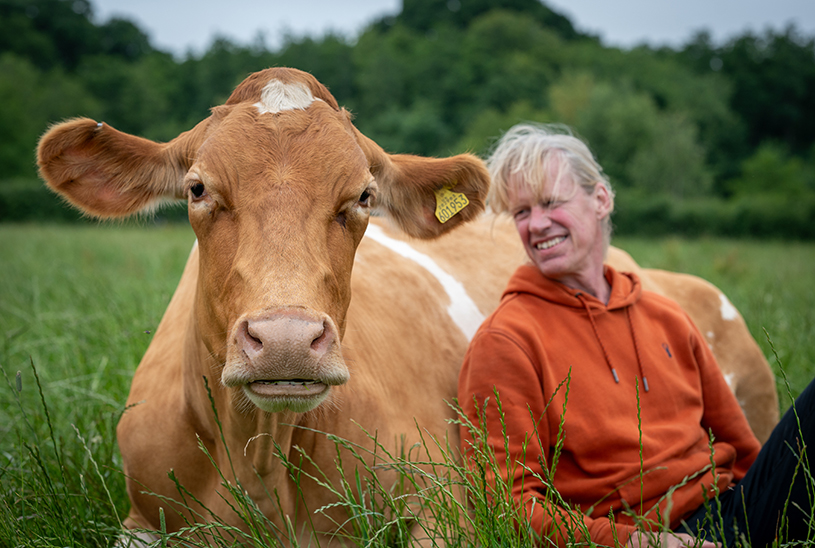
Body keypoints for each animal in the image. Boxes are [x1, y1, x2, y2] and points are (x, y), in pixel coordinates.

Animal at [36, 67, 778, 546]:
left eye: (364, 196)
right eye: (195, 188)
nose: (285, 338)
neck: (262, 461)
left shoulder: (449, 504)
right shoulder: (142, 520)